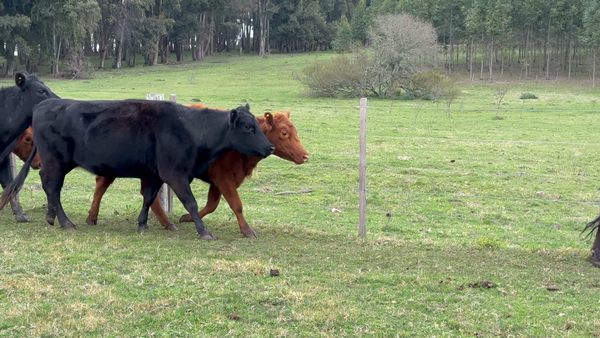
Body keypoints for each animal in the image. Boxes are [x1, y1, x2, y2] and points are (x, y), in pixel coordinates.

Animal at [1, 99, 274, 240]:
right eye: (248, 127)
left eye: (256, 125)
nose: (269, 146)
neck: (191, 128)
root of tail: (46, 104)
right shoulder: (175, 174)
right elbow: (192, 203)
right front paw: (204, 232)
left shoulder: (155, 175)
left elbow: (148, 199)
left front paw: (142, 224)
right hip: (57, 161)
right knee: (52, 187)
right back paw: (65, 222)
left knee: (49, 185)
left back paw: (51, 217)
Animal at [85, 104, 310, 239]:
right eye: (284, 133)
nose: (306, 156)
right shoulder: (222, 179)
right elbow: (235, 205)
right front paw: (247, 230)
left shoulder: (218, 183)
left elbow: (211, 205)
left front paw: (187, 218)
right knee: (102, 186)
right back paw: (92, 217)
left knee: (148, 196)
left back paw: (166, 223)